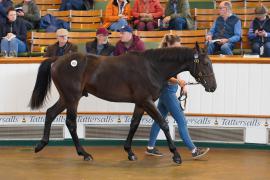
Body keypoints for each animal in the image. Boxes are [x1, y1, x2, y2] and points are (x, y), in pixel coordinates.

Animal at [29, 43, 216, 164]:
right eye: (206, 63)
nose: (213, 87)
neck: (152, 67)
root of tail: (57, 60)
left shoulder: (140, 103)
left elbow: (134, 124)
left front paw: (130, 152)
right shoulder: (146, 101)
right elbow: (163, 124)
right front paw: (176, 155)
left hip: (66, 98)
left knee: (50, 113)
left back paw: (40, 145)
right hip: (72, 98)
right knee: (70, 123)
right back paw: (84, 154)